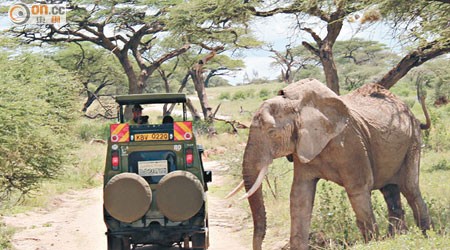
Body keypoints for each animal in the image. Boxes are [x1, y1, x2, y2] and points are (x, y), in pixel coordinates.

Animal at [227, 78, 434, 250]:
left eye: (271, 132)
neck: (297, 104)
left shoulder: (350, 143)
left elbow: (358, 190)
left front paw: (374, 244)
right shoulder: (303, 145)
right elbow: (300, 196)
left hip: (413, 140)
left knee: (409, 188)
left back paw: (428, 235)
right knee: (390, 191)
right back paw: (398, 237)